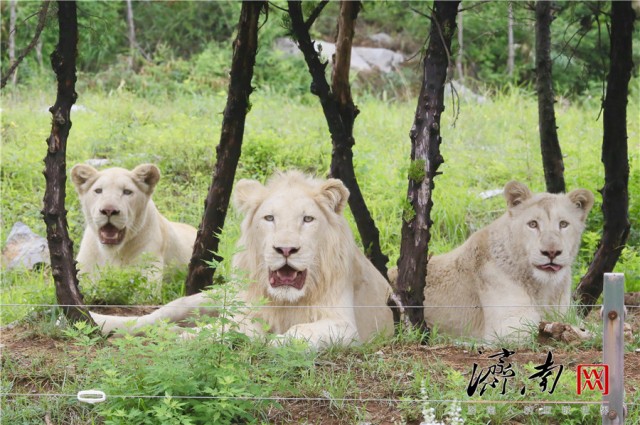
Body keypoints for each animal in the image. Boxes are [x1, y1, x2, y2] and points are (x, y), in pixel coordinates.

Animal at [87, 170, 392, 348]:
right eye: (269, 218)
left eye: (308, 219)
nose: (285, 249)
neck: (285, 301)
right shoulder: (245, 312)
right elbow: (232, 328)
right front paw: (187, 337)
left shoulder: (348, 327)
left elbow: (298, 334)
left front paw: (276, 341)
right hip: (212, 297)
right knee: (157, 316)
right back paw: (102, 321)